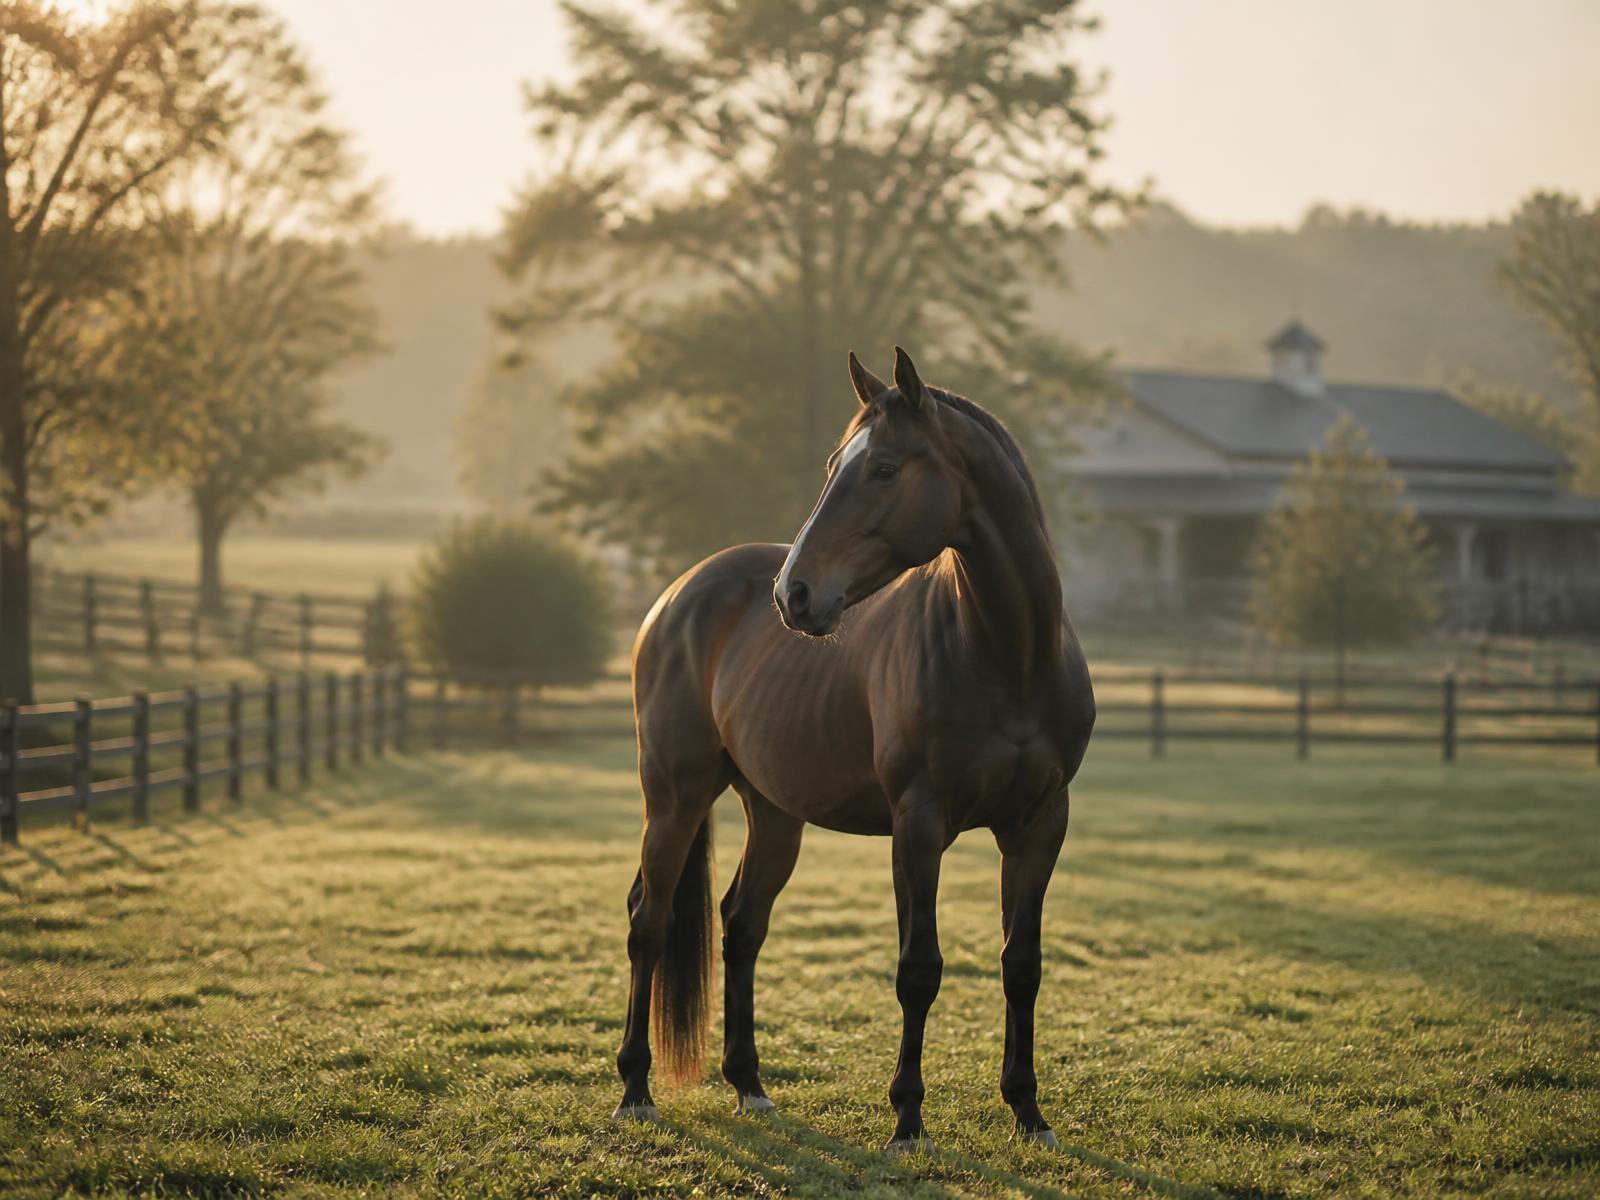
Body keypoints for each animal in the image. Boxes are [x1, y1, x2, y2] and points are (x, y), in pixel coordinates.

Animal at [614, 346, 1095, 1153]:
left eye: (885, 469)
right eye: (836, 465)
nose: (794, 594)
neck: (1007, 655)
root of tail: (676, 596)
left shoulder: (1039, 825)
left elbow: (1021, 965)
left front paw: (1029, 1114)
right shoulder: (918, 825)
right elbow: (919, 969)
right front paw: (907, 1121)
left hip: (774, 812)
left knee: (741, 925)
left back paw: (749, 1085)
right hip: (674, 799)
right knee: (649, 922)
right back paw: (635, 1090)